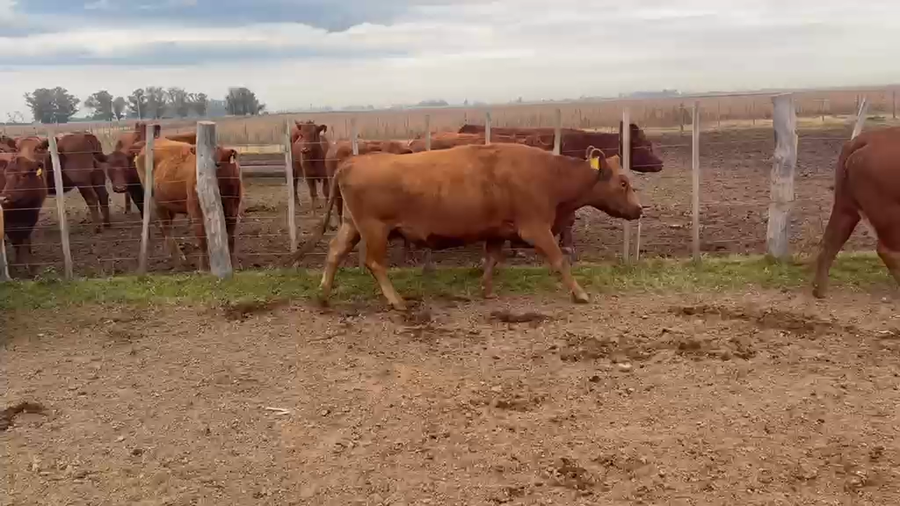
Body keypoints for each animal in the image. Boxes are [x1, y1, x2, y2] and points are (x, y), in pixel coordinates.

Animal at [134, 138, 243, 271]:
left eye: (217, 164)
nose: (198, 188)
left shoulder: (233, 210)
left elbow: (231, 238)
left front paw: (235, 264)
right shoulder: (195, 210)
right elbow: (202, 237)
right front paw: (203, 268)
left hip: (169, 204)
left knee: (165, 229)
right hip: (156, 202)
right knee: (167, 229)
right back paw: (179, 260)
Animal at [293, 143, 642, 310]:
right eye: (623, 183)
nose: (639, 209)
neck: (549, 174)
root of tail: (351, 161)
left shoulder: (498, 231)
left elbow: (491, 260)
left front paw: (486, 290)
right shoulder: (536, 229)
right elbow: (559, 261)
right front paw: (580, 293)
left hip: (351, 226)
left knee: (334, 252)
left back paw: (323, 295)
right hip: (375, 229)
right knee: (374, 263)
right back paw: (397, 301)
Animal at [813, 126, 900, 298]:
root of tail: (866, 140)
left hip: (845, 206)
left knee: (829, 241)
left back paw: (820, 290)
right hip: (890, 214)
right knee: (887, 251)